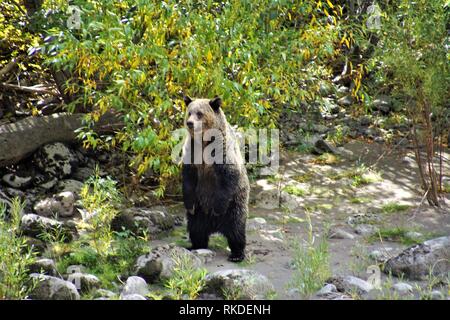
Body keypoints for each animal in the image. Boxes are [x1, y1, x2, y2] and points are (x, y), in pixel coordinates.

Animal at [180, 96, 250, 262]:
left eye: (199, 113)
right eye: (189, 112)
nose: (190, 123)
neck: (204, 141)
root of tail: (215, 227)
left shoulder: (222, 150)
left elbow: (229, 175)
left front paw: (217, 208)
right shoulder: (192, 152)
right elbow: (188, 179)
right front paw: (188, 203)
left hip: (235, 204)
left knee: (236, 228)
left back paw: (237, 254)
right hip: (200, 211)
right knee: (196, 228)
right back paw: (195, 246)